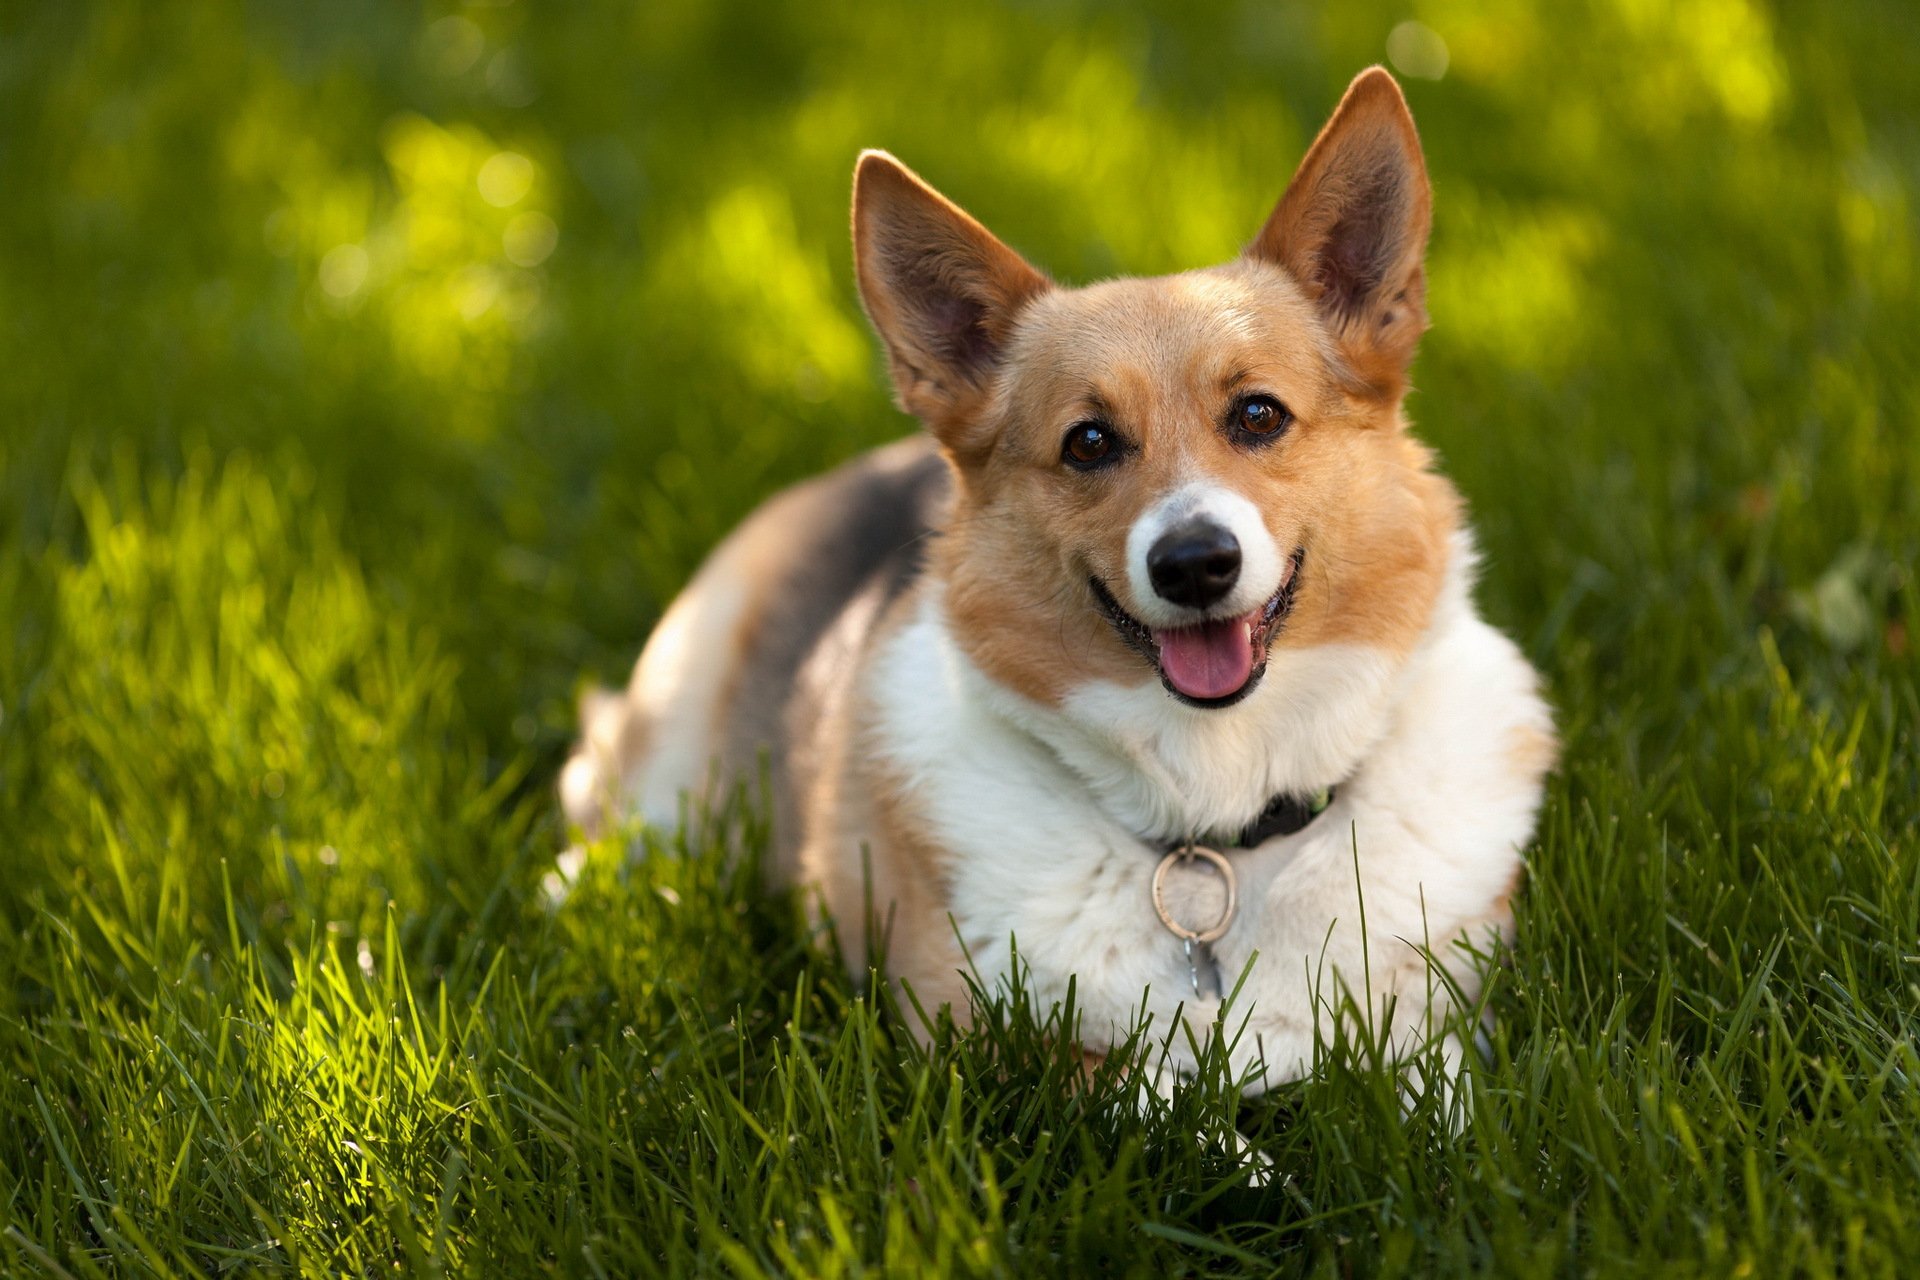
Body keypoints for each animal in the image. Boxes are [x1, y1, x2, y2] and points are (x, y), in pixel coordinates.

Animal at [560, 67, 1551, 1090]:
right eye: (1089, 441)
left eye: (1259, 415)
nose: (1195, 563)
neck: (1211, 828)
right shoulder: (993, 1055)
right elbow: (1162, 1101)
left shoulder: (1442, 1029)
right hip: (671, 755)